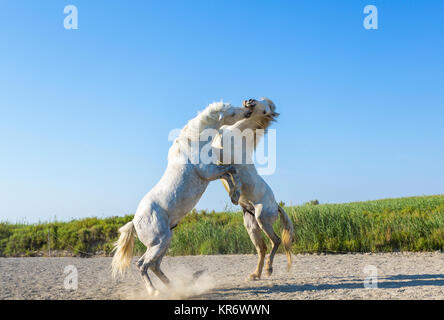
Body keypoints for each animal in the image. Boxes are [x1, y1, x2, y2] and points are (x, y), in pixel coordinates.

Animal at [111, 100, 262, 296]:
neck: (195, 142)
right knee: (142, 265)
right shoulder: (208, 172)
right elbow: (231, 170)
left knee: (153, 265)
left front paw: (234, 196)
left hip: (163, 242)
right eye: (232, 112)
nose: (248, 109)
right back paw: (155, 292)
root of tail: (135, 222)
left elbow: (229, 174)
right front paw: (235, 195)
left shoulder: (213, 172)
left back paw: (173, 287)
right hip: (159, 242)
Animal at [212, 97, 294, 280]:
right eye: (263, 100)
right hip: (251, 225)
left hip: (262, 218)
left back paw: (268, 269)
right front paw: (233, 195)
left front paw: (234, 194)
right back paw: (255, 274)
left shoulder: (225, 159)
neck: (235, 133)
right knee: (262, 248)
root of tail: (276, 206)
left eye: (265, 110)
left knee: (276, 240)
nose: (249, 101)